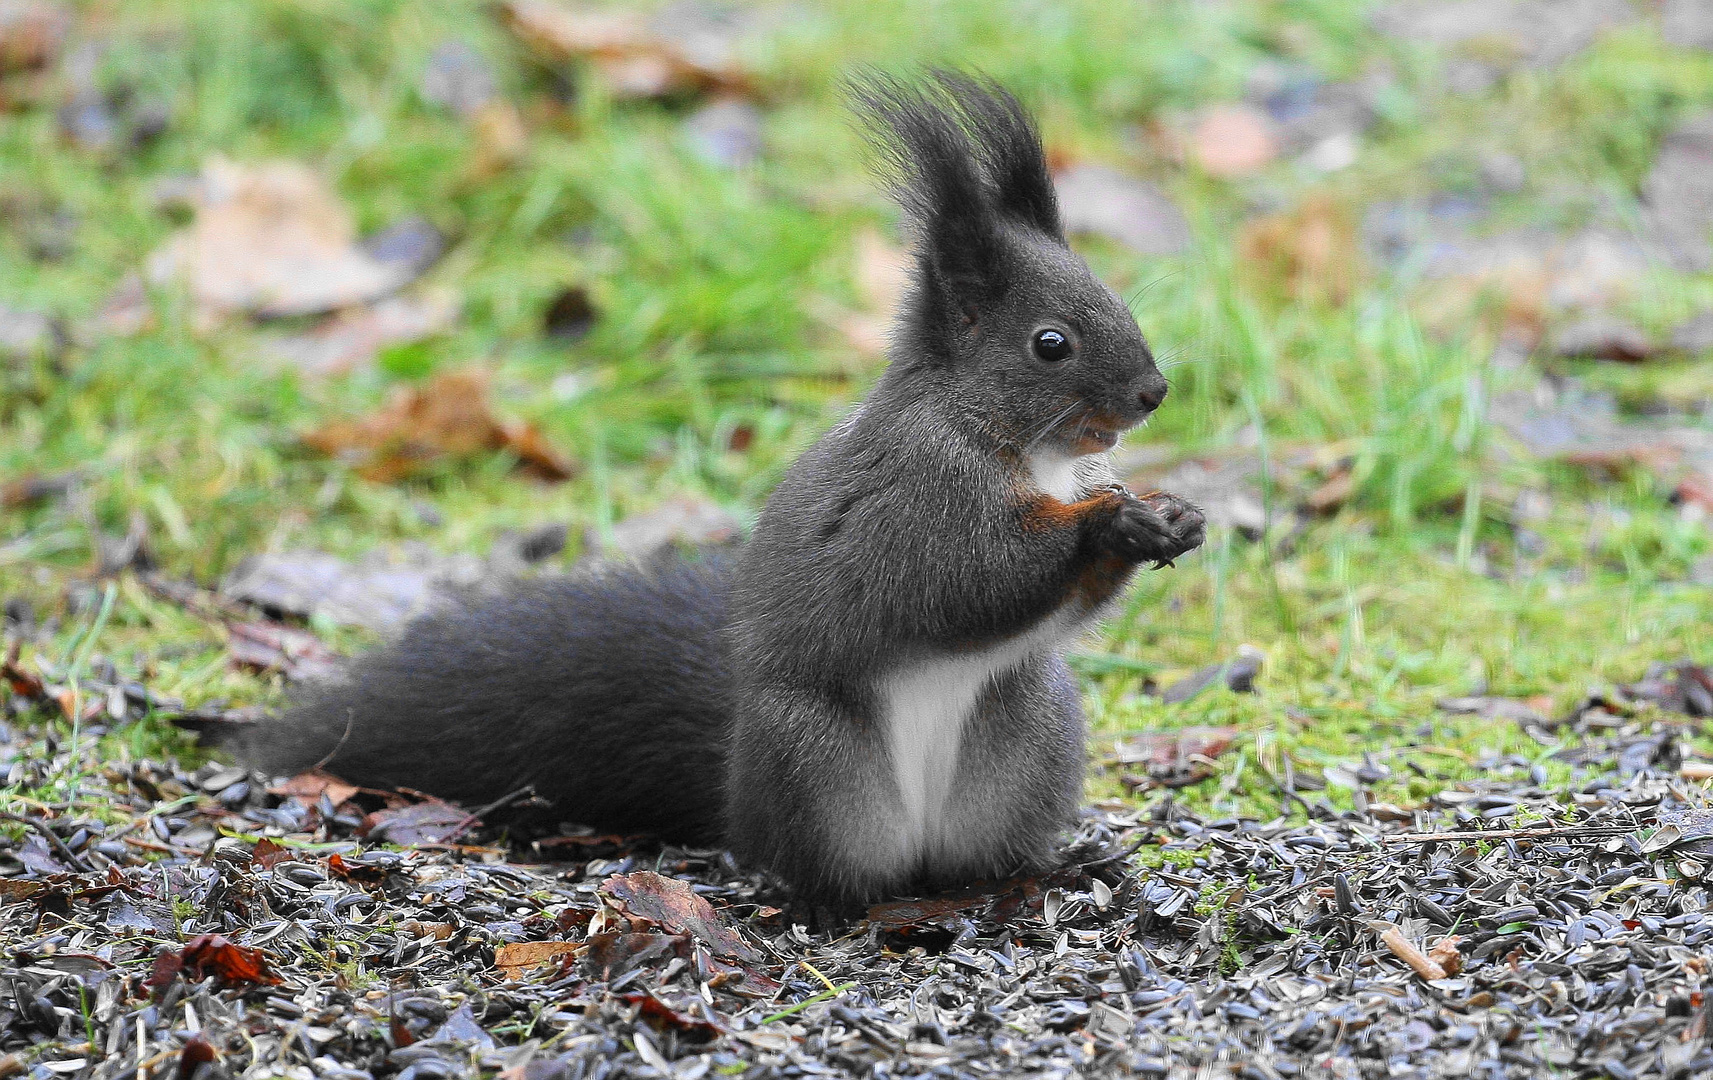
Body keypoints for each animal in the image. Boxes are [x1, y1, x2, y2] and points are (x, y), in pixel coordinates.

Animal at [241, 72, 1205, 912]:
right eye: (1050, 343)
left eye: (1116, 300)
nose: (1153, 393)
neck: (1009, 444)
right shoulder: (915, 499)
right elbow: (970, 580)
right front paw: (1107, 523)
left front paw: (1175, 519)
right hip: (815, 761)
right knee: (835, 864)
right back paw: (828, 901)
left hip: (1030, 731)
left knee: (978, 849)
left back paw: (1049, 866)